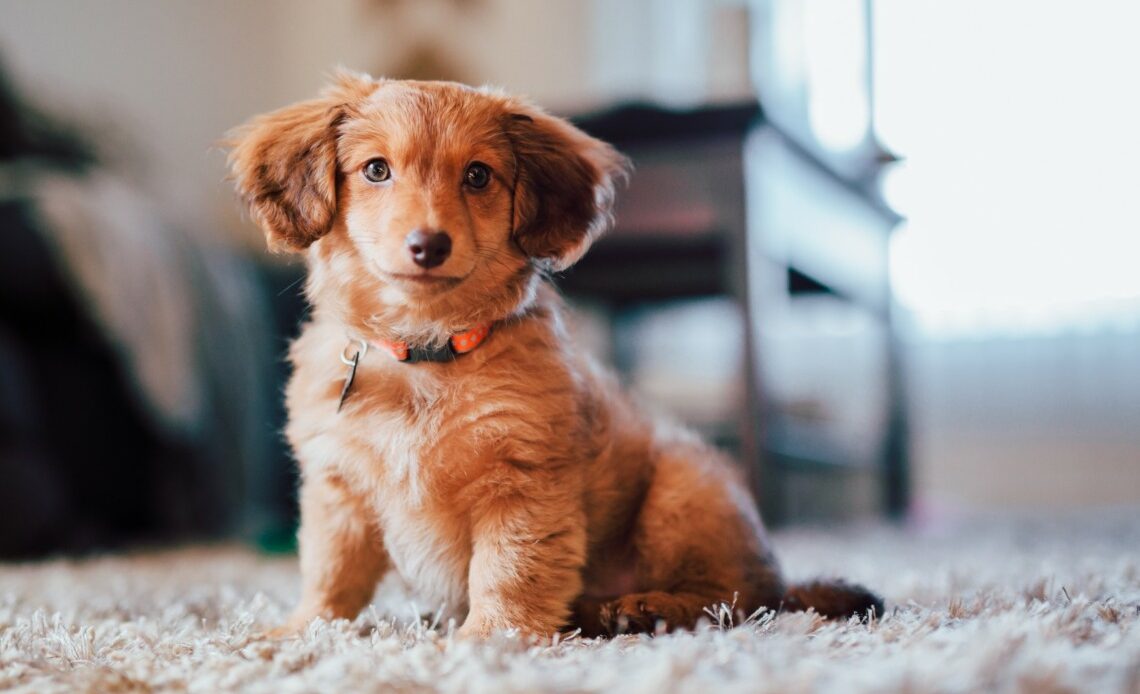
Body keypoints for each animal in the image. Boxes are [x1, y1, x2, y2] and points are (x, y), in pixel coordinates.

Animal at [224, 70, 880, 638]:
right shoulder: (339, 491)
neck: (425, 353)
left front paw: (490, 638)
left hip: (681, 491)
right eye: (376, 170)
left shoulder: (523, 486)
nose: (428, 245)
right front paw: (301, 632)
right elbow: (331, 574)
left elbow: (508, 572)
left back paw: (645, 608)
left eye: (478, 176)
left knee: (735, 598)